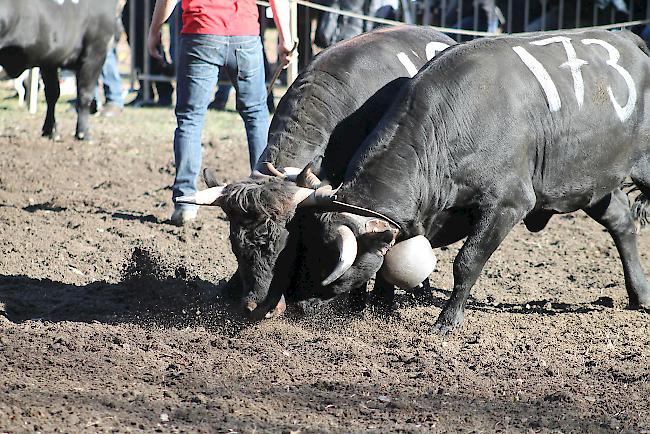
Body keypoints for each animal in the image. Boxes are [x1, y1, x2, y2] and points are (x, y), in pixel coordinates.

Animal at [0, 0, 117, 139]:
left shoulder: (50, 59)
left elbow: (52, 94)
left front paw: (50, 131)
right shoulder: (95, 53)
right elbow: (85, 94)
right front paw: (83, 133)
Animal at [268, 28, 648, 332]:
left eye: (327, 263)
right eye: (304, 246)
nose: (297, 304)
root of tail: (630, 40)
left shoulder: (508, 203)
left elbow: (467, 260)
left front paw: (447, 320)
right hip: (592, 185)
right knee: (621, 221)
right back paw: (640, 294)